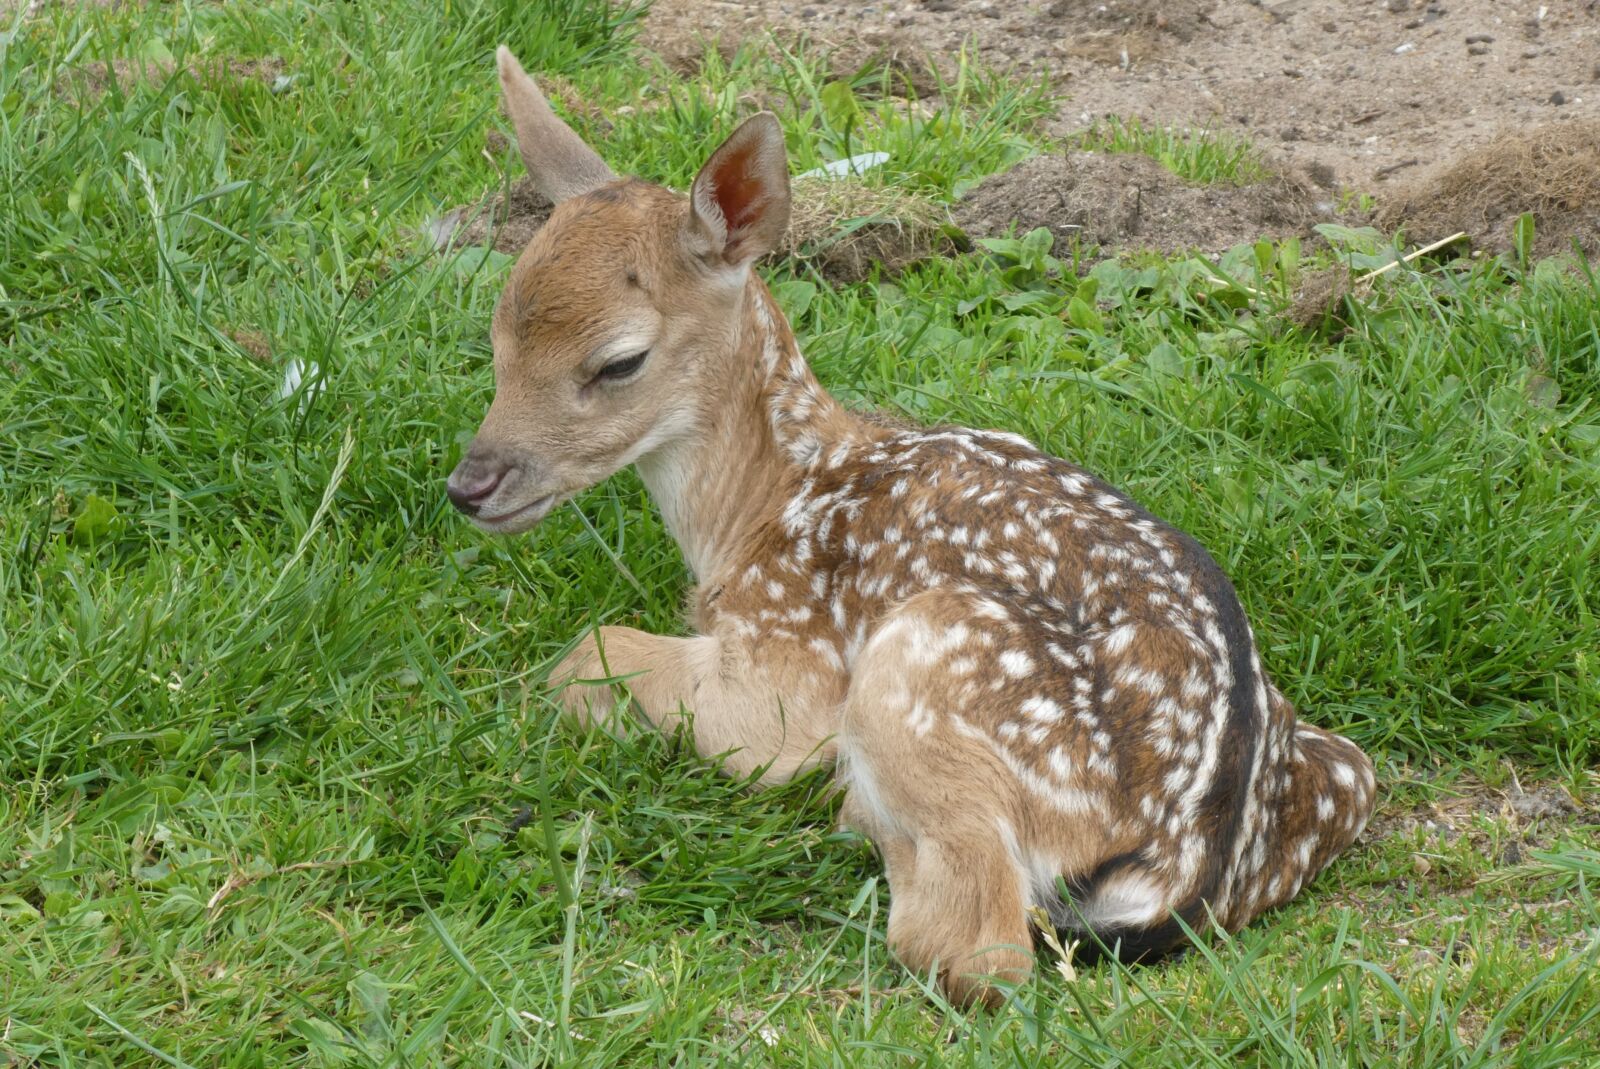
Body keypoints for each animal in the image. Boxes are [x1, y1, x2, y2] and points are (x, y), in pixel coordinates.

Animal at [445, 46, 1378, 1008]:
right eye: (498, 329)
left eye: (619, 361)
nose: (470, 485)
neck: (758, 512)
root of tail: (1179, 869)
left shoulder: (788, 669)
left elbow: (586, 652)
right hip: (1347, 770)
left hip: (925, 651)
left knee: (978, 952)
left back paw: (857, 812)